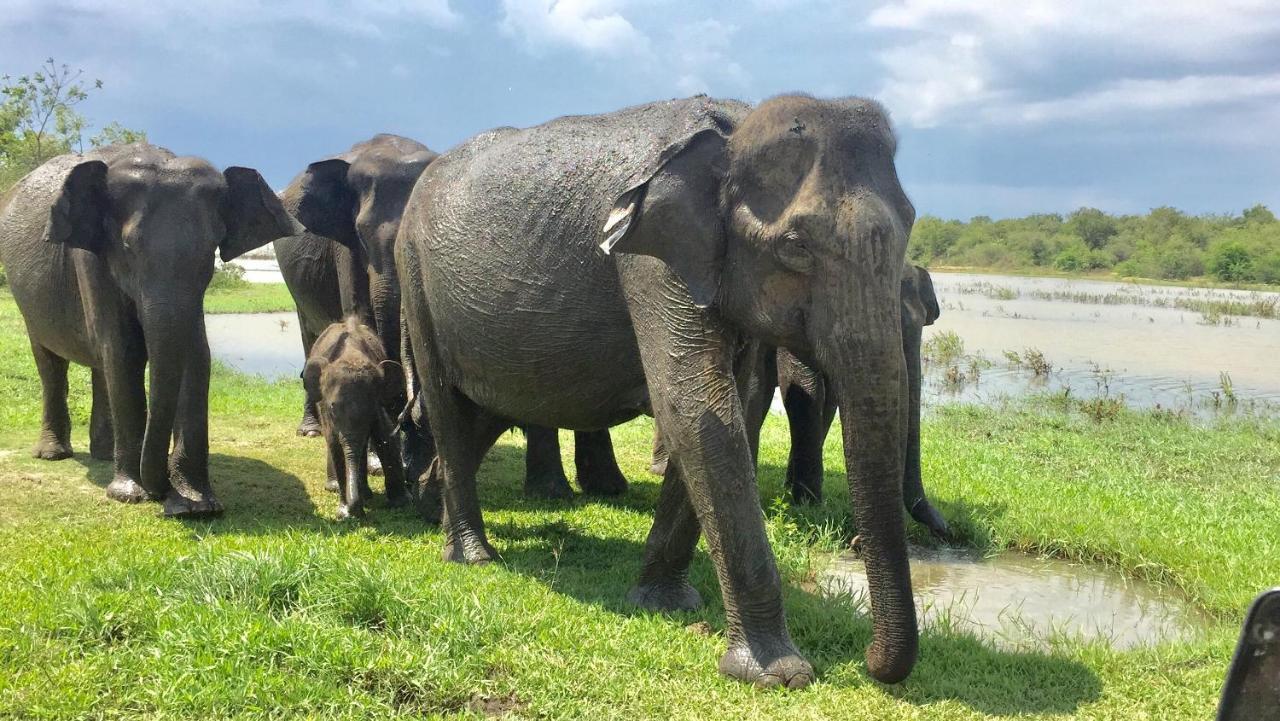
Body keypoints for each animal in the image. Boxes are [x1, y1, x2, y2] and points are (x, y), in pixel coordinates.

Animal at [0, 144, 296, 517]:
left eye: (211, 248)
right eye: (128, 248)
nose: (163, 492)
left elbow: (196, 355)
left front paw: (198, 505)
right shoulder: (93, 260)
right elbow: (125, 351)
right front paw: (129, 495)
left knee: (100, 367)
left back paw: (103, 454)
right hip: (26, 301)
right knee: (51, 362)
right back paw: (54, 454)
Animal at [302, 317, 407, 519]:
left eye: (370, 409)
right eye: (333, 408)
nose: (357, 510)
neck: (350, 354)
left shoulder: (378, 405)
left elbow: (384, 435)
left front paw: (400, 503)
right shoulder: (325, 409)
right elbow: (335, 445)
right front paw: (345, 514)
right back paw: (339, 489)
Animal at [399, 96, 921, 686]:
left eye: (911, 223)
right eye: (795, 247)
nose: (871, 664)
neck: (734, 128)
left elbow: (731, 410)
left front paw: (662, 603)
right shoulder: (650, 261)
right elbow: (697, 411)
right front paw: (779, 674)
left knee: (485, 412)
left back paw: (430, 507)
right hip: (413, 273)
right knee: (445, 406)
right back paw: (472, 556)